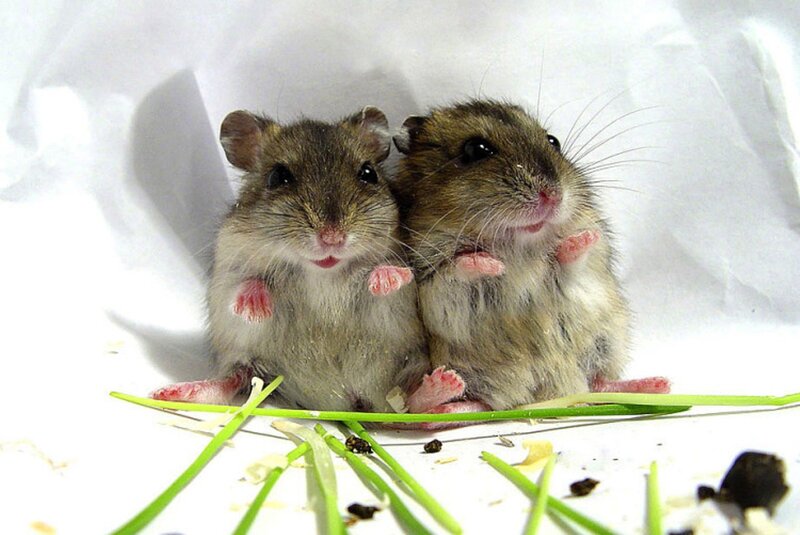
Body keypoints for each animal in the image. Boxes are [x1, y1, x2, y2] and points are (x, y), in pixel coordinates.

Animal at [151, 107, 428, 412]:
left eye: (368, 174)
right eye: (277, 176)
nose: (332, 238)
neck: (322, 273)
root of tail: (336, 402)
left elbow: (391, 272)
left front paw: (385, 278)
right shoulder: (228, 261)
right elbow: (245, 282)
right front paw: (255, 308)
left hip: (409, 366)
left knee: (414, 396)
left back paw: (441, 387)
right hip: (245, 360)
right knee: (232, 381)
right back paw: (173, 393)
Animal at [392, 99, 669, 411]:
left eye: (553, 141)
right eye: (476, 149)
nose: (552, 196)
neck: (520, 243)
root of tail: (543, 395)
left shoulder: (589, 270)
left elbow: (574, 260)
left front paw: (582, 238)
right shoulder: (431, 283)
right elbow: (456, 270)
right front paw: (494, 264)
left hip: (608, 340)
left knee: (599, 382)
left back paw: (658, 385)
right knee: (445, 405)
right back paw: (442, 392)